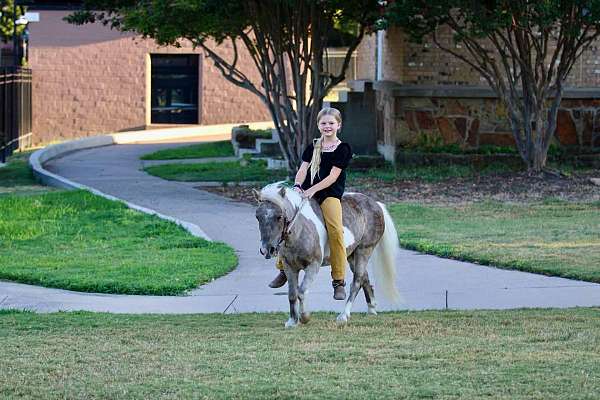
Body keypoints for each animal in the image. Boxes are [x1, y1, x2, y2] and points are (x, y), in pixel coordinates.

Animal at [255, 183, 400, 326]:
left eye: (279, 216)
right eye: (258, 217)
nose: (267, 249)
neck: (300, 230)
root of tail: (375, 204)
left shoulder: (313, 265)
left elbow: (301, 292)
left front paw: (304, 317)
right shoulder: (289, 267)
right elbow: (292, 294)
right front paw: (292, 321)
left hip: (364, 251)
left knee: (357, 282)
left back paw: (344, 315)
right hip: (352, 256)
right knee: (365, 277)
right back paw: (371, 308)